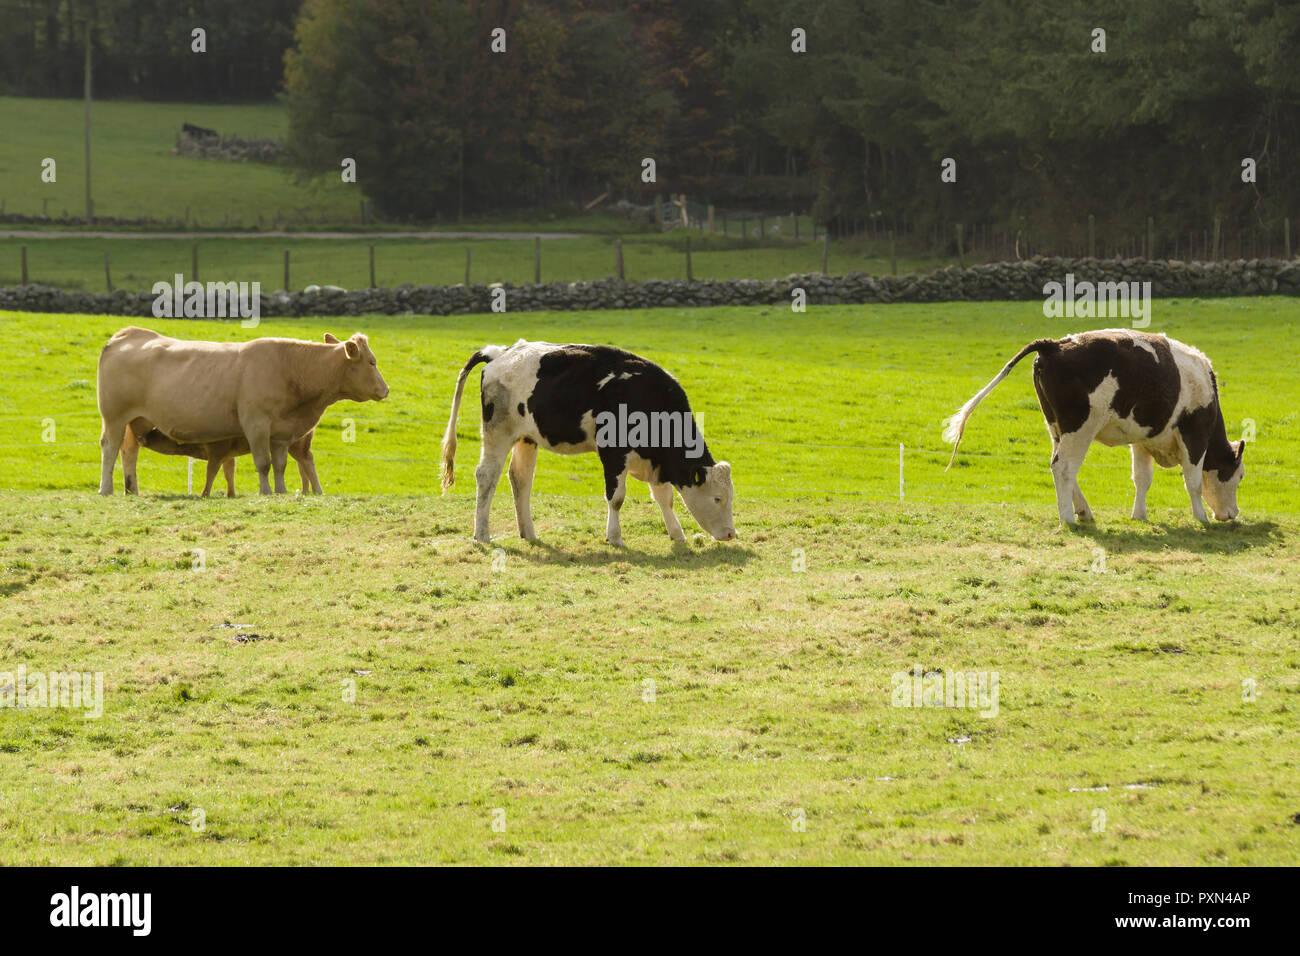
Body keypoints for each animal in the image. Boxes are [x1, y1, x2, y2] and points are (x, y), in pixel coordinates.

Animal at [96, 327, 384, 494]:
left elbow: (280, 464)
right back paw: (106, 489)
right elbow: (263, 462)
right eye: (372, 362)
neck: (290, 367)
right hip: (114, 417)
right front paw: (266, 492)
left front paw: (281, 491)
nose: (386, 389)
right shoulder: (255, 423)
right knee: (110, 447)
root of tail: (125, 335)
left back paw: (132, 490)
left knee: (129, 451)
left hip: (138, 420)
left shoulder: (282, 432)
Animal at [120, 426, 321, 502]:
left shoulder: (217, 453)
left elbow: (211, 473)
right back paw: (308, 491)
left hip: (296, 446)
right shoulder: (226, 455)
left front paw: (204, 493)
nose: (142, 436)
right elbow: (228, 473)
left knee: (307, 462)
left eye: (157, 432)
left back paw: (317, 490)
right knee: (303, 465)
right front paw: (231, 494)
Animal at [441, 338, 738, 546]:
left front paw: (677, 534)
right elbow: (616, 497)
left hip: (526, 438)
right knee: (486, 476)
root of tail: (500, 352)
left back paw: (529, 533)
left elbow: (665, 498)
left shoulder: (656, 461)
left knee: (520, 479)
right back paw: (482, 534)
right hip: (498, 432)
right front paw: (615, 537)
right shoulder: (613, 452)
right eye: (717, 498)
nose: (731, 534)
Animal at [941, 329, 1242, 522]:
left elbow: (1142, 479)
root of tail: (1054, 344)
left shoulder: (1142, 440)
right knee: (1063, 467)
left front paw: (1139, 516)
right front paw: (1201, 518)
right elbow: (1193, 481)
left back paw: (1083, 511)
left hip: (1056, 427)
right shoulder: (1195, 435)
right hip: (1080, 428)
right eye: (1239, 477)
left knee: (1062, 465)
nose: (1232, 514)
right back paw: (1067, 519)